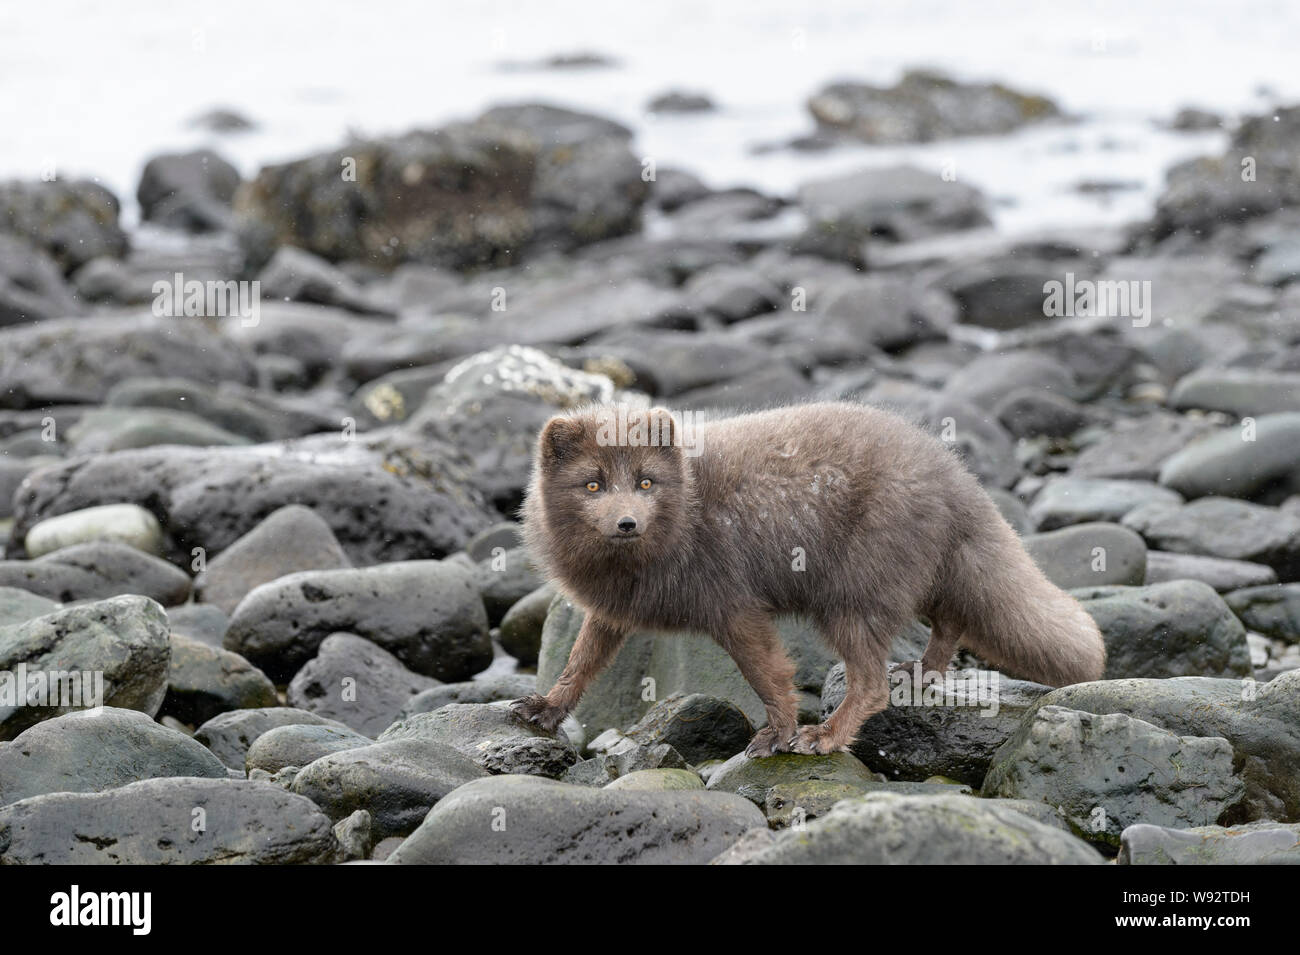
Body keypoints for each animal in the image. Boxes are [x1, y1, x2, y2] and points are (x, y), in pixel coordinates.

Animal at [512, 402, 1102, 753]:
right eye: (592, 485)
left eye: (645, 481)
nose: (627, 522)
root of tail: (957, 475)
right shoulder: (610, 611)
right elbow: (580, 662)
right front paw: (545, 708)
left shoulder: (735, 607)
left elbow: (768, 676)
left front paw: (778, 733)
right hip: (913, 579)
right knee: (951, 619)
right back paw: (923, 672)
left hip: (851, 596)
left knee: (871, 684)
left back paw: (827, 735)